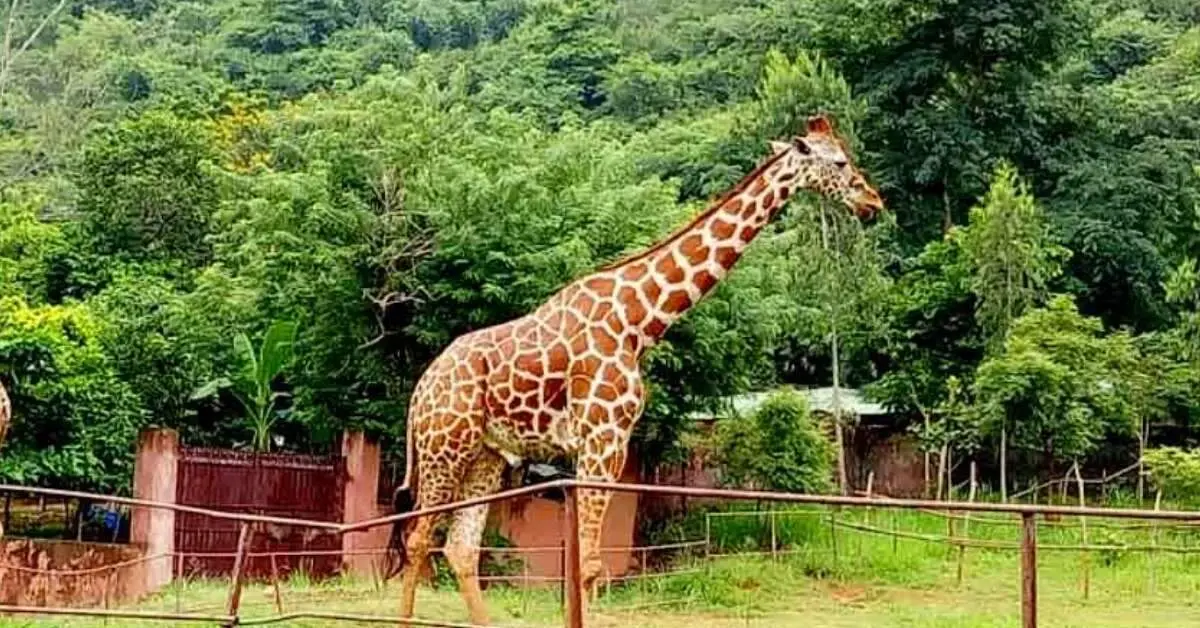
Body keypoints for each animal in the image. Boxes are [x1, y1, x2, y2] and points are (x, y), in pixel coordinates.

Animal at [392, 115, 884, 625]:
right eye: (839, 162)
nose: (873, 202)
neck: (637, 322)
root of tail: (420, 391)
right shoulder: (603, 438)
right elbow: (588, 566)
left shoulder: (604, 444)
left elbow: (585, 564)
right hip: (444, 448)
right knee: (418, 537)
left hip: (486, 455)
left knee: (459, 548)